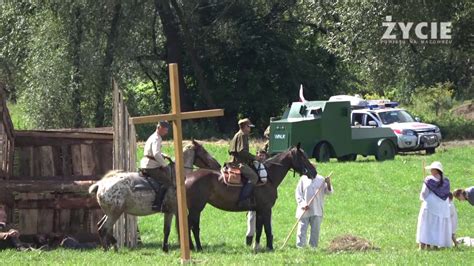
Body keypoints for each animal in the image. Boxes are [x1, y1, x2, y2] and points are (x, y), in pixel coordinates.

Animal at [89, 140, 220, 252]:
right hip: (115, 213)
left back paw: (111, 247)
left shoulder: (172, 212)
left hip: (110, 213)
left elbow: (171, 230)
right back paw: (110, 248)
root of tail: (100, 185)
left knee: (101, 227)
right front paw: (177, 247)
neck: (176, 178)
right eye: (203, 151)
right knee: (104, 229)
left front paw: (167, 248)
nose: (218, 165)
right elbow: (175, 229)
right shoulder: (173, 211)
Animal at [185, 144, 314, 250]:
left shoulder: (259, 210)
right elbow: (267, 228)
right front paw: (270, 247)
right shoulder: (266, 209)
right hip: (196, 209)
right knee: (193, 227)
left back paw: (191, 247)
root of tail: (187, 177)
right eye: (302, 157)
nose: (314, 172)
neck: (268, 177)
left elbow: (259, 229)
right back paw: (198, 247)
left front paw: (256, 247)